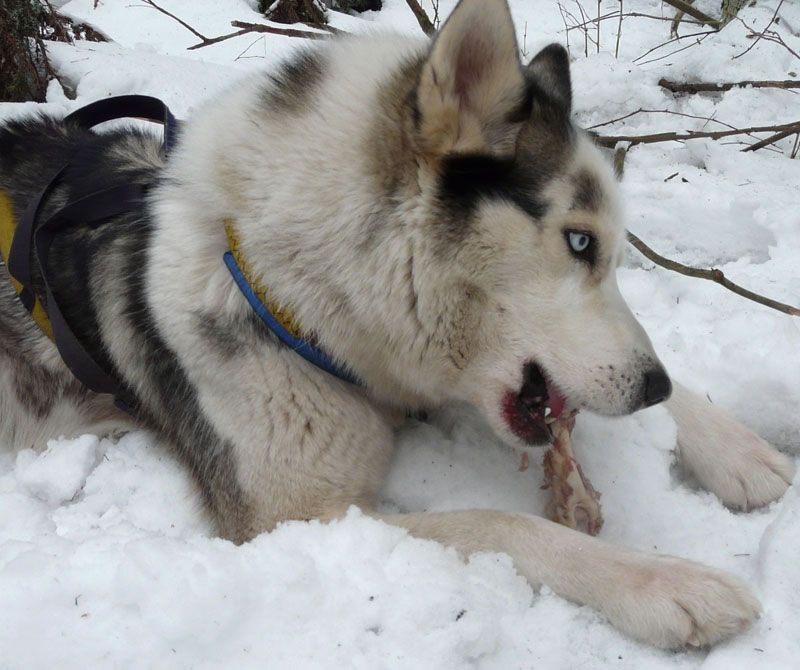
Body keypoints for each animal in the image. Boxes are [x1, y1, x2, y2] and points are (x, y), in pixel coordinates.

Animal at [0, 0, 792, 652]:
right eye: (578, 241)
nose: (653, 388)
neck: (294, 282)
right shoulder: (296, 518)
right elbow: (500, 523)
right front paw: (662, 583)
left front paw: (735, 447)